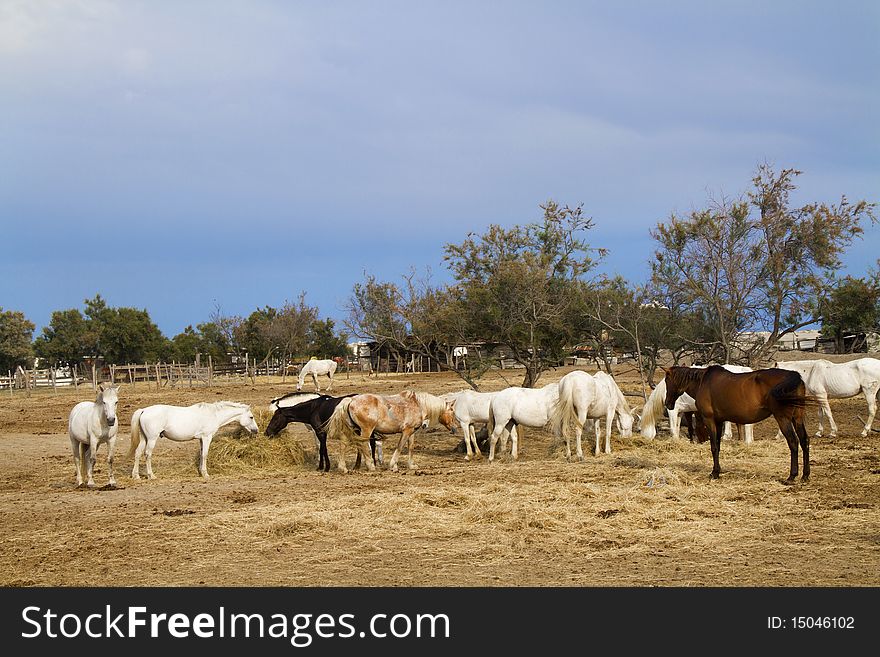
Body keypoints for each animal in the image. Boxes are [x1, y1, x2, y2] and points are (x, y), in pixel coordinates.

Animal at [129, 398, 258, 480]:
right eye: (251, 417)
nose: (256, 430)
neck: (214, 414)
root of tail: (144, 410)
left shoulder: (201, 439)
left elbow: (201, 454)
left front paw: (201, 472)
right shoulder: (207, 437)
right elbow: (205, 455)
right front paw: (206, 474)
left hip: (144, 439)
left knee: (137, 453)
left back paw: (136, 476)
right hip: (151, 439)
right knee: (147, 454)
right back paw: (151, 475)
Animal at [326, 390, 458, 472]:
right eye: (452, 412)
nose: (455, 428)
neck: (418, 405)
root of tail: (351, 400)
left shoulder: (412, 432)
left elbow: (410, 447)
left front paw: (411, 465)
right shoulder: (406, 431)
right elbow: (400, 447)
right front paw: (393, 465)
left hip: (352, 430)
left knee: (343, 444)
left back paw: (343, 468)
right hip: (366, 430)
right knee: (363, 445)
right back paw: (371, 466)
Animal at [660, 364, 812, 482]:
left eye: (667, 381)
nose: (668, 404)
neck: (703, 382)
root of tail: (794, 377)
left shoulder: (710, 420)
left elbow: (713, 447)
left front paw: (714, 473)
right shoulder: (719, 421)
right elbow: (718, 446)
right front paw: (717, 471)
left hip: (783, 418)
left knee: (793, 442)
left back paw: (792, 476)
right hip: (797, 418)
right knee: (804, 441)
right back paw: (805, 475)